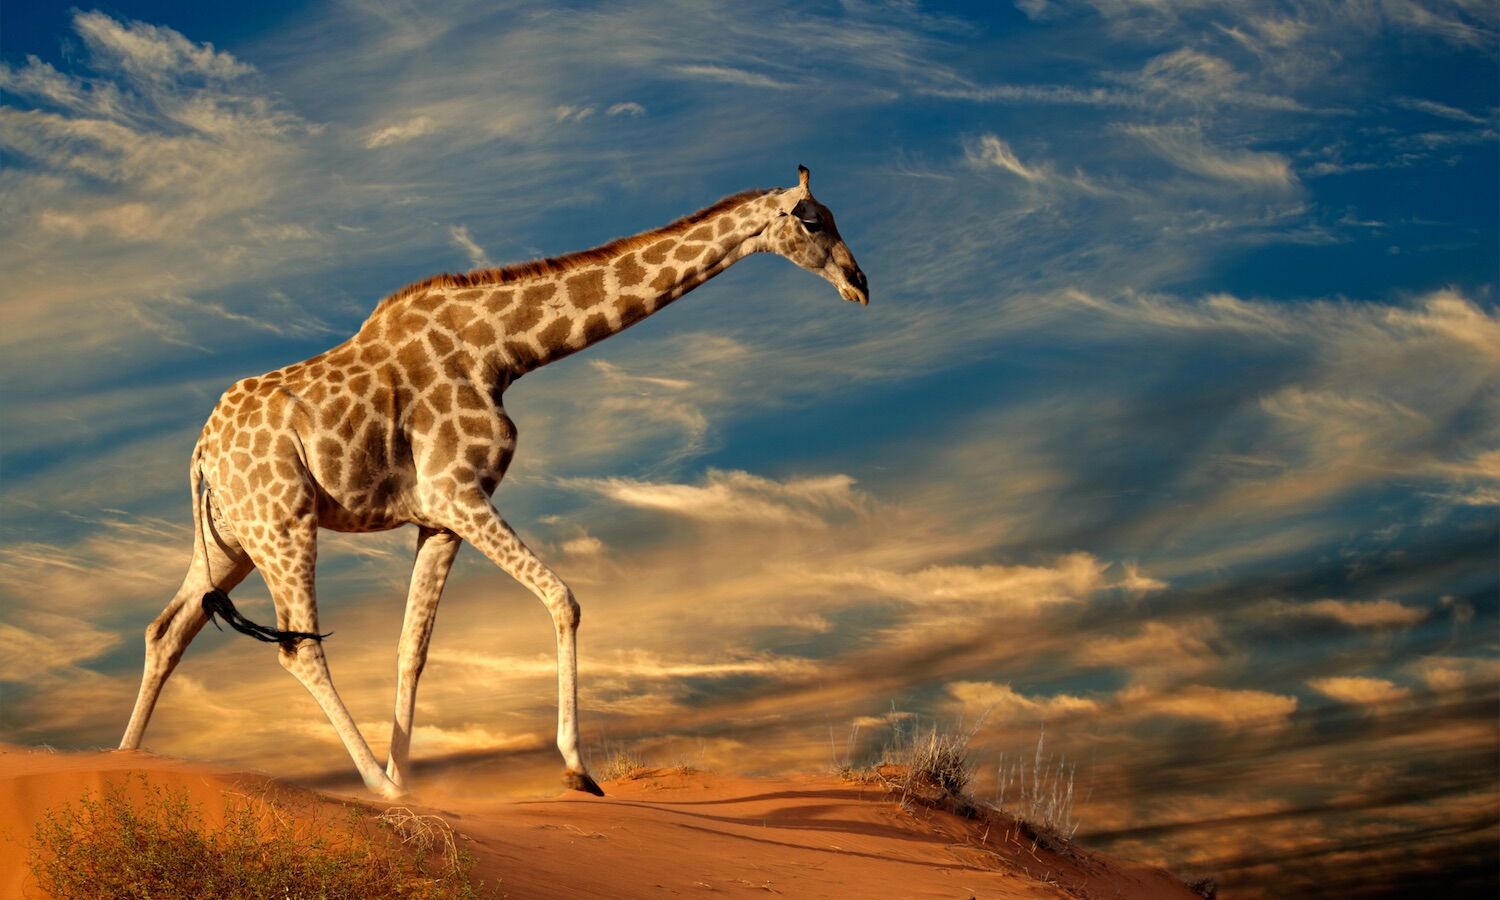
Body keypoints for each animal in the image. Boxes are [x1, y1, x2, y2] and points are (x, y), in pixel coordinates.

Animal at [118, 166, 868, 799]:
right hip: (283, 522)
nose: (860, 283)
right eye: (812, 221)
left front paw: (412, 776)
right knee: (298, 647)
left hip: (231, 538)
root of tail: (200, 453)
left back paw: (126, 761)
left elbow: (413, 649)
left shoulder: (437, 518)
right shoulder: (458, 491)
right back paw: (377, 788)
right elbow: (564, 598)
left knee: (167, 630)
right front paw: (575, 770)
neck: (505, 351)